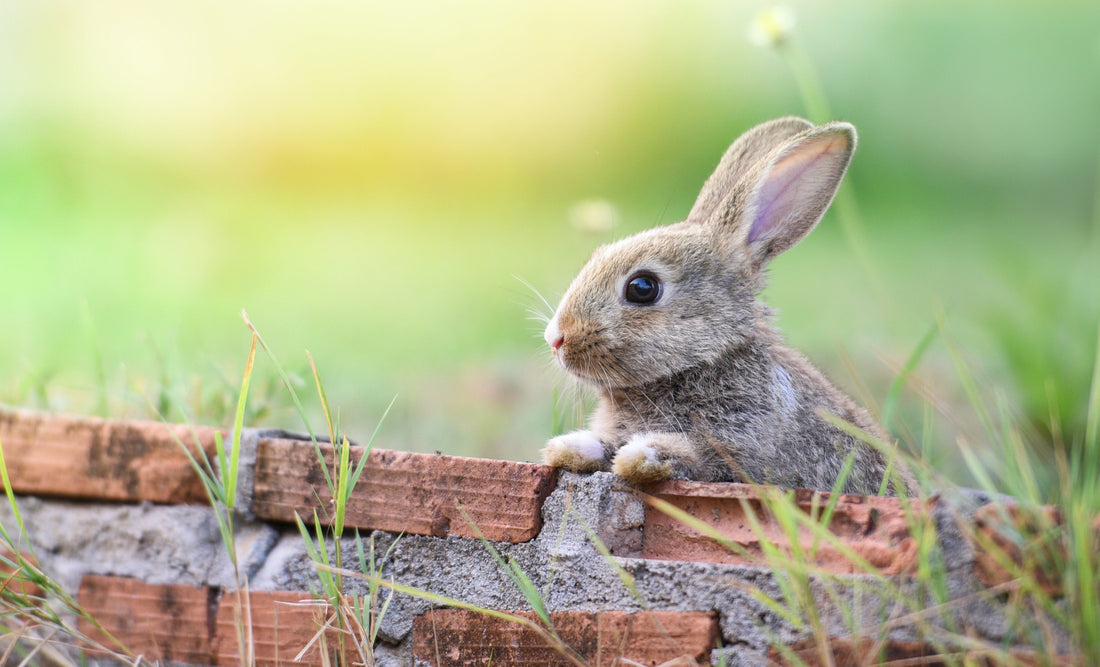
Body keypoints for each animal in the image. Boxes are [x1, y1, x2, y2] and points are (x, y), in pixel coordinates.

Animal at [541, 116, 916, 496]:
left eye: (642, 288)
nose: (555, 338)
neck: (705, 360)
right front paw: (568, 447)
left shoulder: (741, 447)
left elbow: (695, 456)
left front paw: (641, 456)